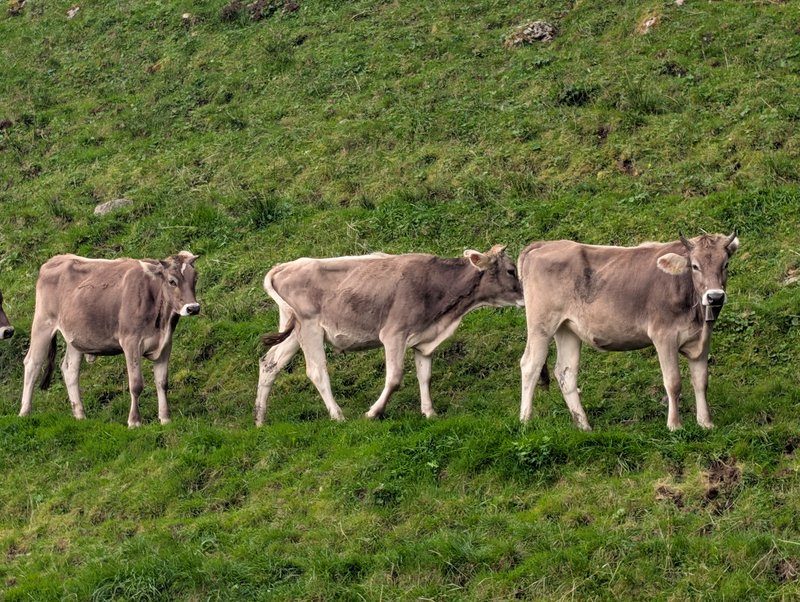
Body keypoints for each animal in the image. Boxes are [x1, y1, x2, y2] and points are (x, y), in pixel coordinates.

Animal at [19, 252, 200, 427]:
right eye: (172, 281)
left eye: (195, 278)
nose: (193, 308)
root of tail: (55, 259)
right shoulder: (131, 342)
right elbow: (136, 384)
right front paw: (134, 421)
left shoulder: (165, 344)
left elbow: (162, 383)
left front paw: (165, 418)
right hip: (43, 323)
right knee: (33, 363)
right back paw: (25, 412)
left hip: (76, 337)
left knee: (70, 369)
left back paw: (80, 415)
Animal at [254, 245, 524, 425]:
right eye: (511, 270)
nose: (525, 296)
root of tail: (284, 266)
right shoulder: (394, 334)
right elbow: (394, 378)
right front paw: (373, 412)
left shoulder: (423, 337)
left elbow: (425, 376)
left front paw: (429, 412)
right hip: (309, 326)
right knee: (316, 371)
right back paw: (338, 415)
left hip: (292, 331)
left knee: (270, 363)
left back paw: (259, 419)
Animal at [517, 233, 739, 431]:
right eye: (695, 266)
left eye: (725, 264)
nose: (715, 297)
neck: (697, 316)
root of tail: (545, 244)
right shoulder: (664, 336)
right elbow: (673, 382)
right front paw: (675, 425)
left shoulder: (702, 340)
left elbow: (701, 382)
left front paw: (706, 423)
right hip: (541, 324)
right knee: (530, 365)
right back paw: (525, 420)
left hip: (567, 328)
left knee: (566, 372)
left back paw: (583, 425)